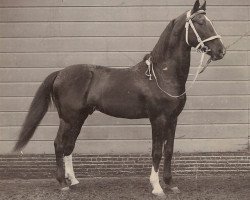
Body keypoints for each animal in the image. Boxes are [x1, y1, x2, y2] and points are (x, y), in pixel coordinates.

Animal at [13, 0, 225, 197]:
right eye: (200, 22)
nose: (220, 51)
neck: (161, 74)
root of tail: (60, 73)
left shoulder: (173, 119)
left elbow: (169, 150)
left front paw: (170, 184)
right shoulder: (158, 119)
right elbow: (156, 151)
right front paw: (156, 187)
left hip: (79, 118)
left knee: (69, 145)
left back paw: (73, 181)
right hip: (68, 118)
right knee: (59, 144)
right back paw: (62, 184)